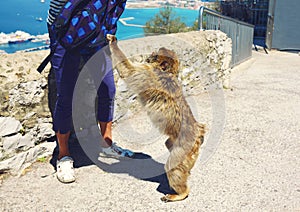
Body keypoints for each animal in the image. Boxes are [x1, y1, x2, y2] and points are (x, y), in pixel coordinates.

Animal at [106, 34, 206, 202]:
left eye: (157, 53)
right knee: (170, 147)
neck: (167, 72)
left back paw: (181, 193)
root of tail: (198, 135)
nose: (151, 52)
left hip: (183, 149)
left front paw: (113, 41)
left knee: (173, 167)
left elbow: (128, 71)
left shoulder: (148, 73)